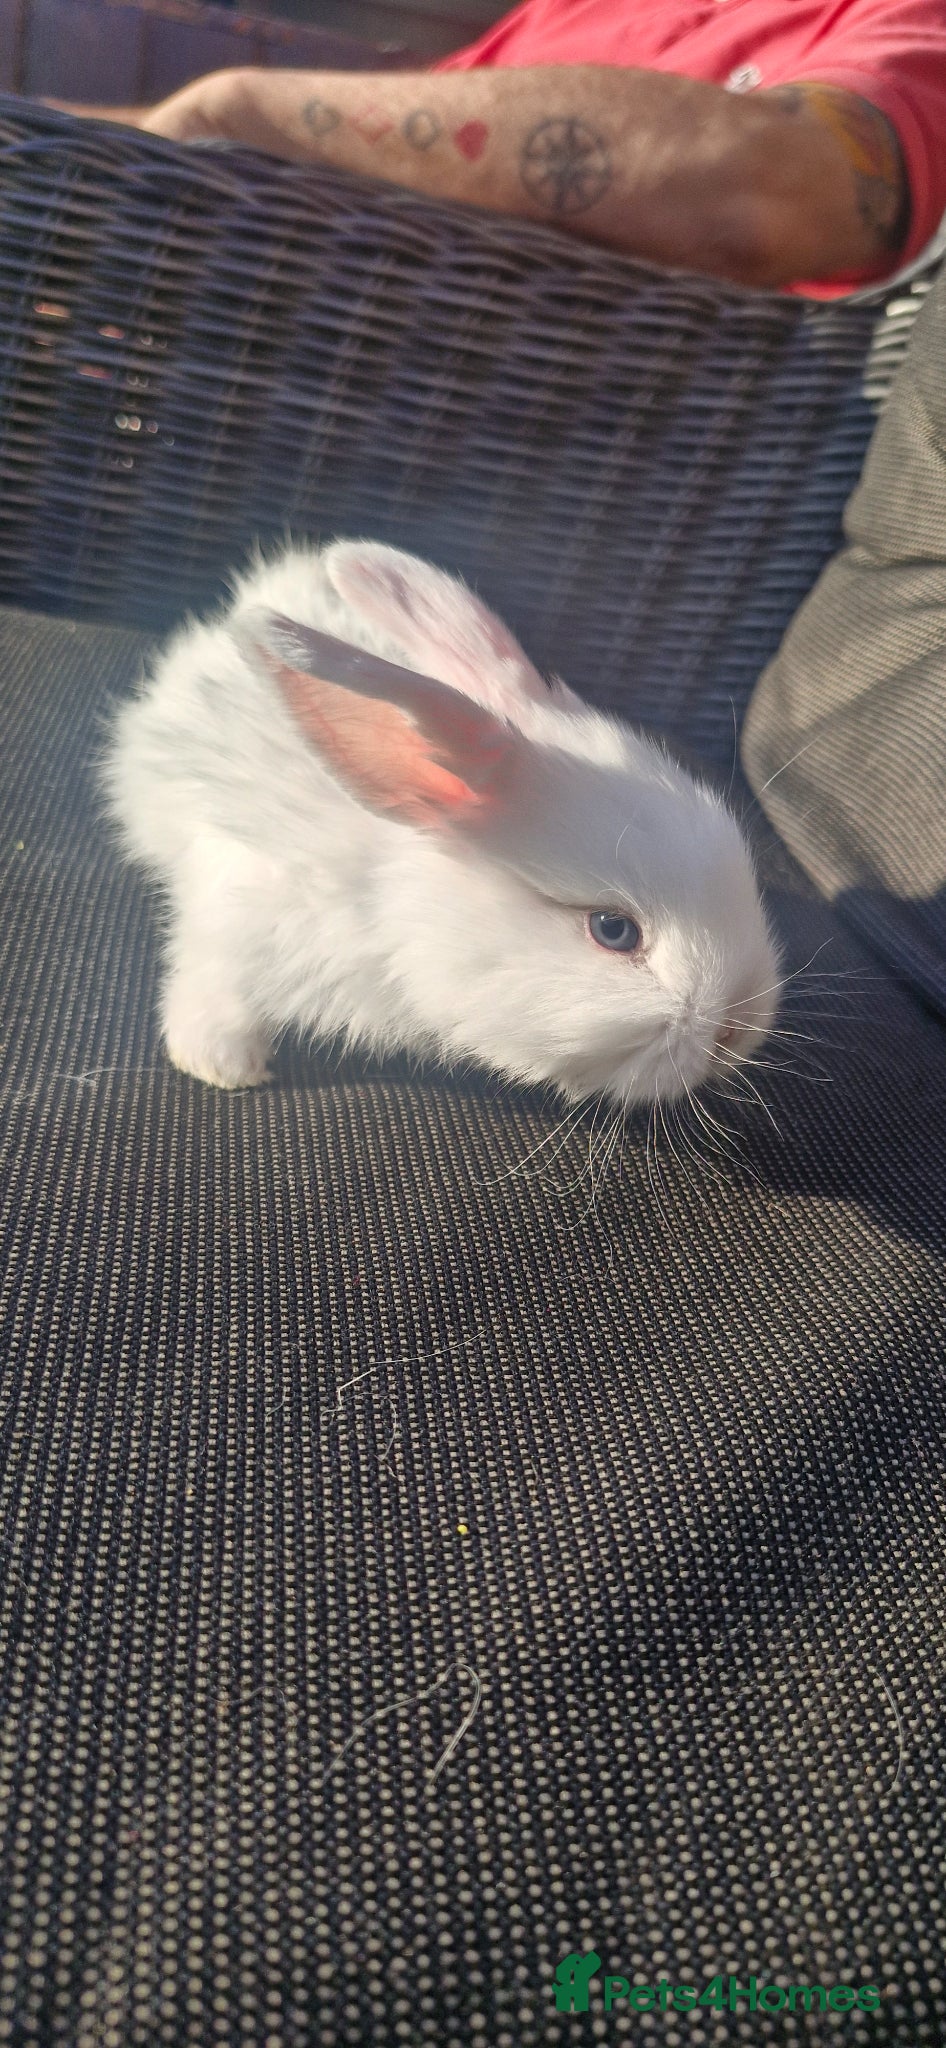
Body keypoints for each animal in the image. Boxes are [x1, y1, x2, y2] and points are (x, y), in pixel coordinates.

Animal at [101, 539, 781, 1108]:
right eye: (613, 930)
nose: (738, 1032)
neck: (384, 895)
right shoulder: (234, 912)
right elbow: (212, 983)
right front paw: (222, 1064)